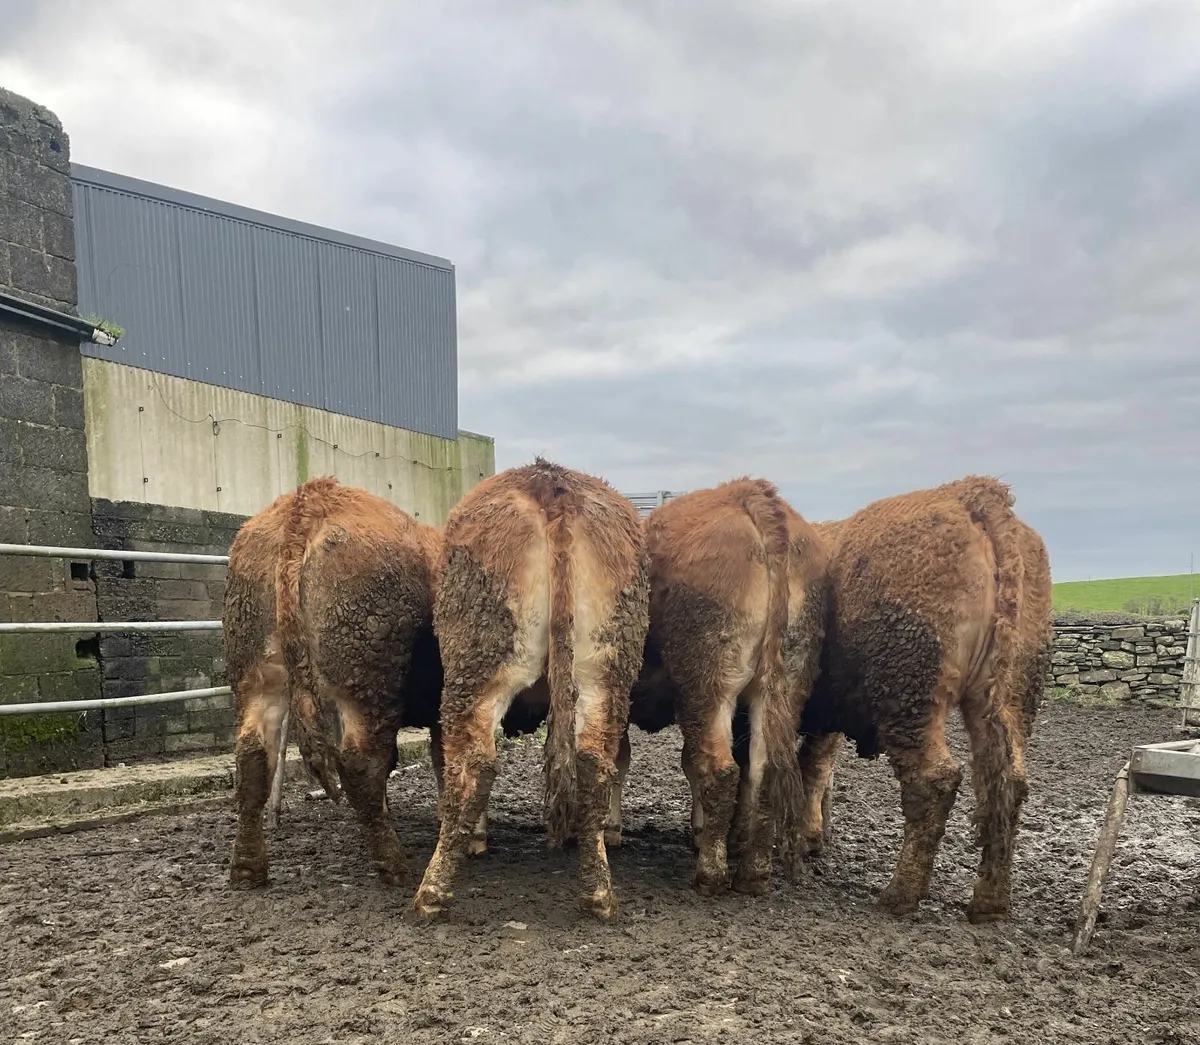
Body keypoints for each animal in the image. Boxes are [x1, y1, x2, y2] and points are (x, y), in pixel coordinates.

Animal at [224, 476, 444, 888]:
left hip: (256, 673)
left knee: (253, 756)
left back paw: (247, 867)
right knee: (360, 762)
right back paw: (393, 864)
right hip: (367, 678)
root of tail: (313, 498)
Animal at [411, 458, 650, 921]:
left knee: (473, 765)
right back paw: (598, 893)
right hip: (606, 669)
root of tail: (552, 483)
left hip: (477, 660)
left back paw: (432, 891)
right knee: (594, 764)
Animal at [625, 478, 831, 895]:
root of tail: (750, 494)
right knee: (762, 772)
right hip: (782, 687)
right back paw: (754, 873)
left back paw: (711, 875)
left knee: (720, 770)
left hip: (707, 688)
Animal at [783, 475, 1053, 922]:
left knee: (933, 780)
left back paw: (899, 896)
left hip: (909, 693)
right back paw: (990, 903)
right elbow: (815, 769)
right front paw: (810, 838)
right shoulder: (826, 717)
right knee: (1005, 782)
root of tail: (969, 493)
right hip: (1010, 693)